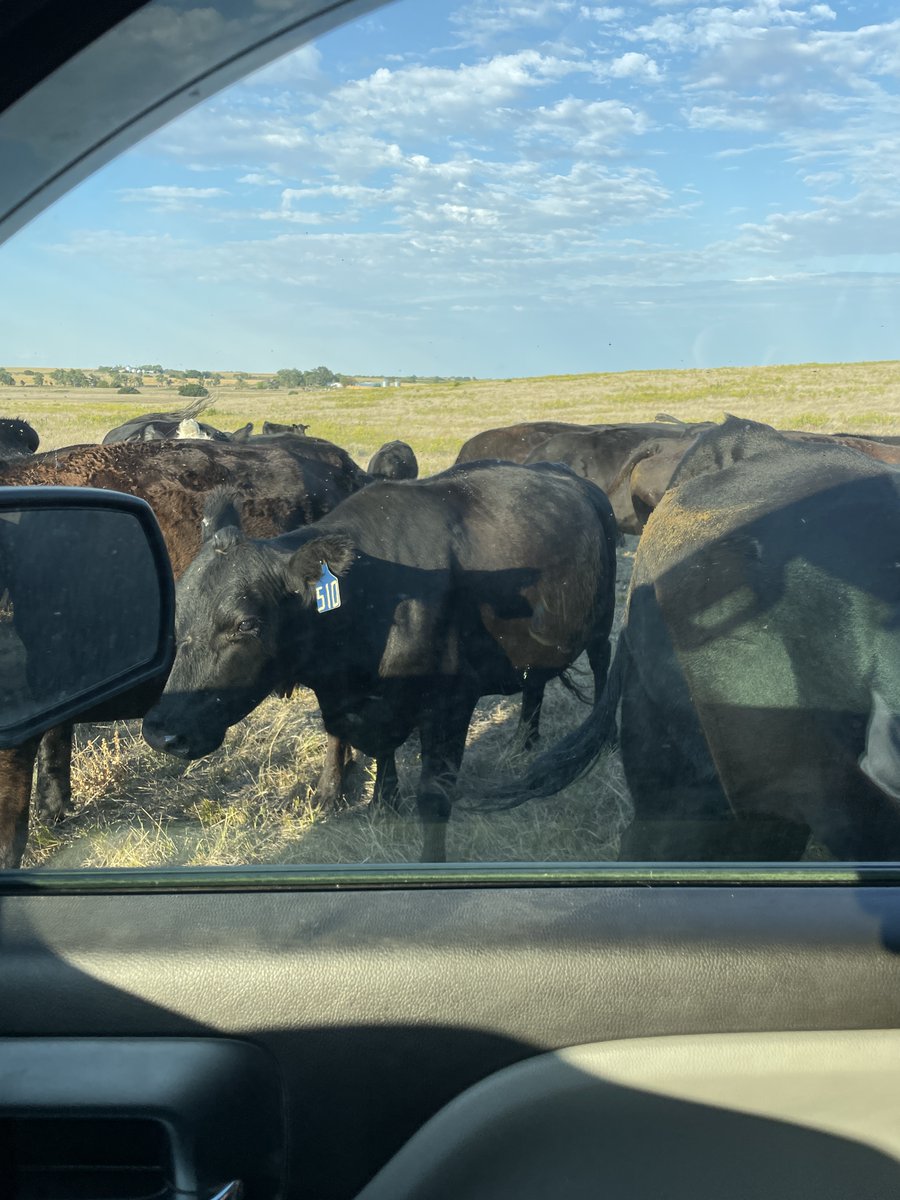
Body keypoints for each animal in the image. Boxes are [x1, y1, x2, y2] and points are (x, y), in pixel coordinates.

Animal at [142, 461, 619, 863]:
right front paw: (361, 799)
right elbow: (349, 743)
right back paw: (524, 739)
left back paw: (605, 739)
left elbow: (433, 796)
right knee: (535, 680)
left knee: (603, 667)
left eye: (245, 623)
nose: (162, 732)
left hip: (602, 621)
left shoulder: (449, 704)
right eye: (178, 607)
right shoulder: (348, 698)